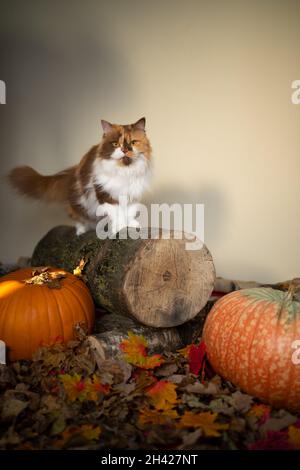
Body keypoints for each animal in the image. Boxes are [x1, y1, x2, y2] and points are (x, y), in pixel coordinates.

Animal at [9, 117, 152, 235]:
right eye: (115, 144)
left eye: (133, 142)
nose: (125, 150)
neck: (124, 171)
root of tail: (73, 170)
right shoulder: (105, 194)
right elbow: (117, 214)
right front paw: (120, 228)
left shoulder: (132, 195)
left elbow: (129, 213)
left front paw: (132, 226)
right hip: (79, 204)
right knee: (78, 217)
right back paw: (82, 230)